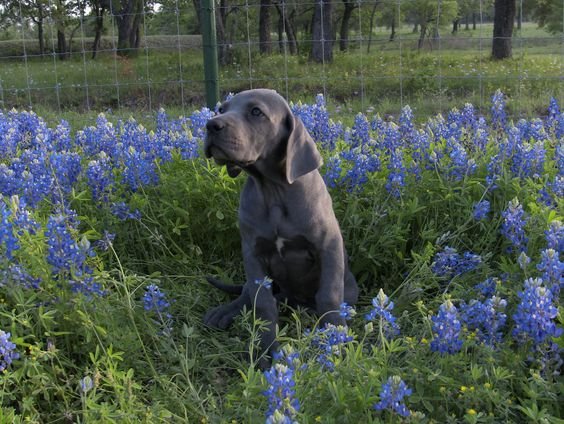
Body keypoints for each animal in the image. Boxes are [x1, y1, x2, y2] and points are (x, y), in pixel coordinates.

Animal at [205, 88, 360, 364]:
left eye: (256, 112)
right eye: (222, 109)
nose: (211, 125)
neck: (272, 190)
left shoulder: (328, 245)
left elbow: (329, 296)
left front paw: (335, 344)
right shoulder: (253, 254)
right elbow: (263, 304)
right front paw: (266, 351)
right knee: (248, 294)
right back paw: (224, 312)